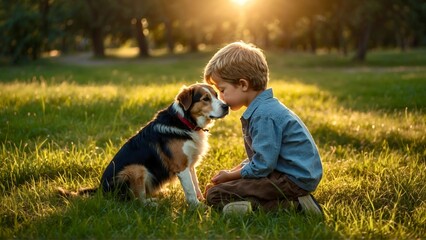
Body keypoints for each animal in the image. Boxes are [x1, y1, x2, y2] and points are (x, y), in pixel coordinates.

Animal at [59, 83, 230, 205]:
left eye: (216, 95)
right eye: (205, 99)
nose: (226, 106)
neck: (185, 122)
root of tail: (101, 190)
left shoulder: (190, 164)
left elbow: (195, 185)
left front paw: (201, 201)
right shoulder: (181, 166)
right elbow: (190, 190)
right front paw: (197, 207)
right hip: (136, 168)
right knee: (136, 201)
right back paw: (151, 203)